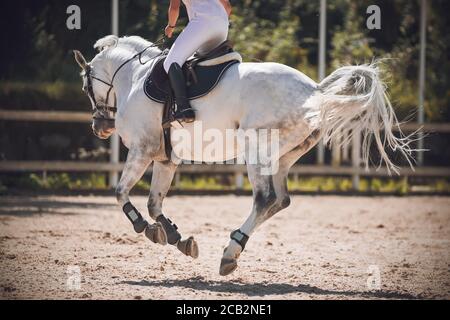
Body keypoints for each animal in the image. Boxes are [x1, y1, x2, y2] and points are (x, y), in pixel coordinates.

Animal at [74, 34, 414, 276]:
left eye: (86, 87)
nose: (99, 127)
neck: (133, 77)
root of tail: (314, 91)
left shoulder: (142, 150)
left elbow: (120, 192)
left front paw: (144, 228)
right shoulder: (165, 158)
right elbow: (154, 203)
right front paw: (176, 238)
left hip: (256, 149)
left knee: (265, 198)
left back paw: (230, 251)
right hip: (283, 156)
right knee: (280, 200)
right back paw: (232, 249)